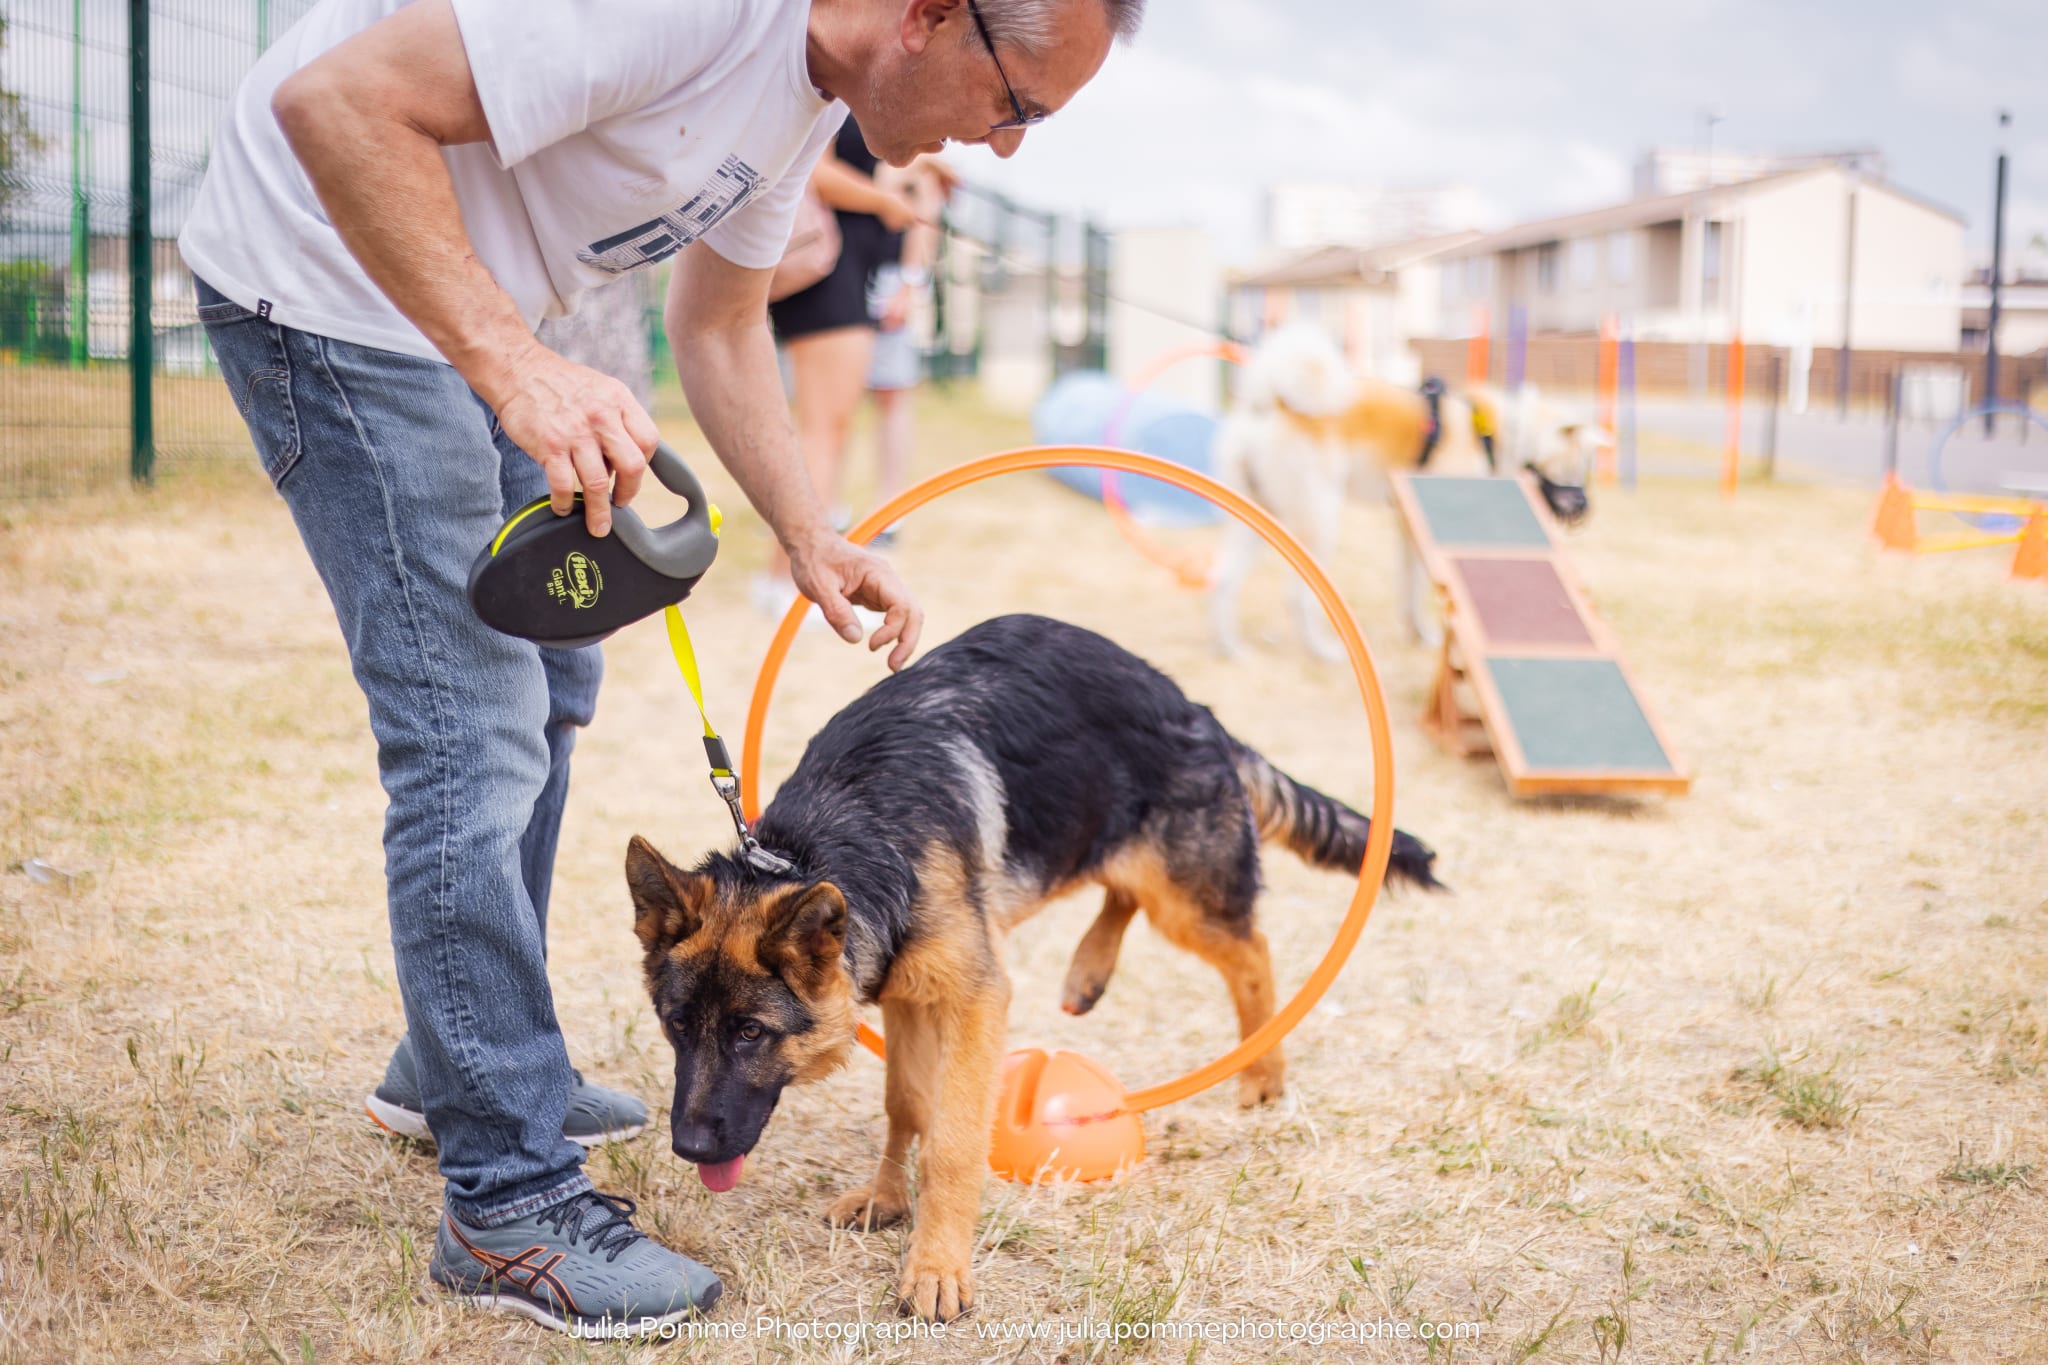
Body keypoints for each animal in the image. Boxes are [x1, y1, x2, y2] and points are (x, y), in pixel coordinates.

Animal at [622, 613, 1441, 1317]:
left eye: (751, 1033)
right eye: (676, 1026)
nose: (689, 1148)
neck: (842, 833)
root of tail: (1193, 706)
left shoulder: (974, 996)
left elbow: (952, 1143)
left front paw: (937, 1268)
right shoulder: (906, 994)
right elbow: (908, 1105)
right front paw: (888, 1199)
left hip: (1186, 897)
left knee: (1248, 950)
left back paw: (1262, 1072)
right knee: (1120, 890)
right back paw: (1089, 971)